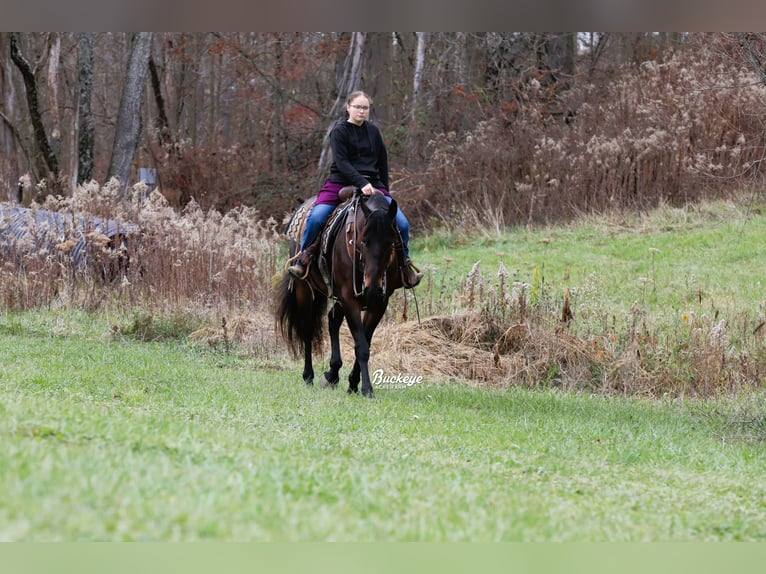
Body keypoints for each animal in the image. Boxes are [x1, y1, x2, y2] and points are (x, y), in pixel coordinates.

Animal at [278, 191, 408, 398]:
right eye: (364, 241)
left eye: (390, 243)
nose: (372, 288)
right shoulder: (349, 299)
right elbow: (361, 346)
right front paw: (366, 388)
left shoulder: (379, 303)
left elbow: (365, 341)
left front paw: (353, 383)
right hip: (303, 288)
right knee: (307, 329)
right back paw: (309, 375)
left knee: (332, 320)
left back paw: (332, 373)